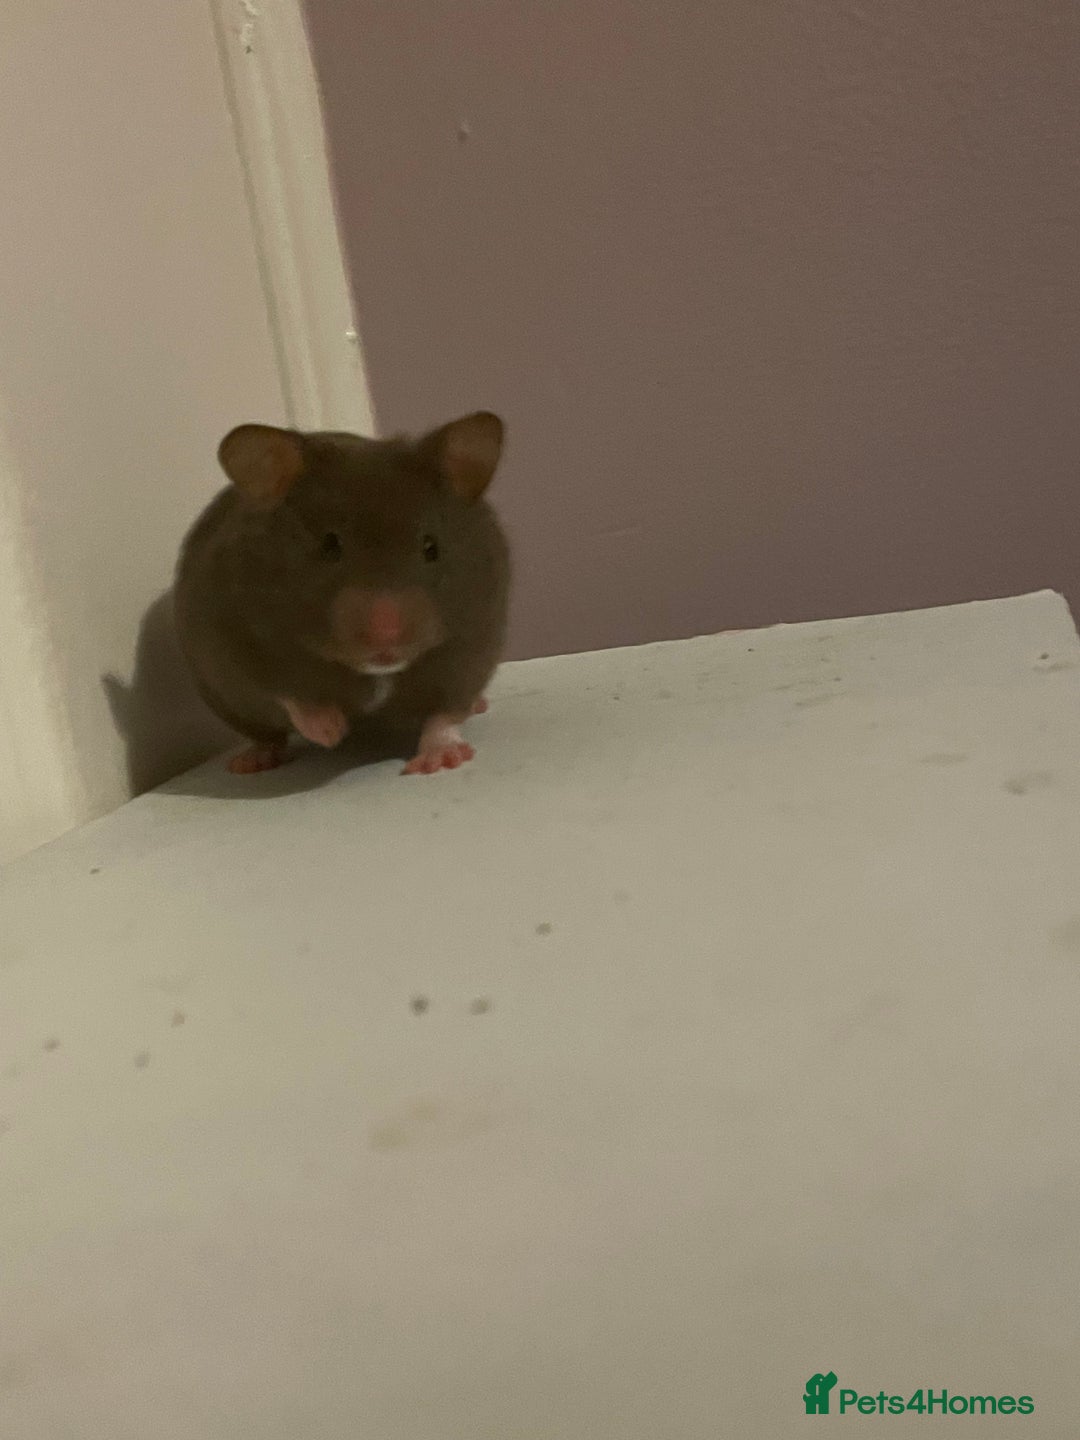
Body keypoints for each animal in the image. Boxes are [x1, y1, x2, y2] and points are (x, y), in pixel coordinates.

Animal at [173, 411, 510, 776]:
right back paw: (251, 762)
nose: (386, 638)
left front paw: (439, 762)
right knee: (267, 735)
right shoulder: (238, 638)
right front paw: (333, 731)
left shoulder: (472, 645)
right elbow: (289, 693)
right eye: (330, 546)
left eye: (431, 548)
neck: (376, 671)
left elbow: (445, 713)